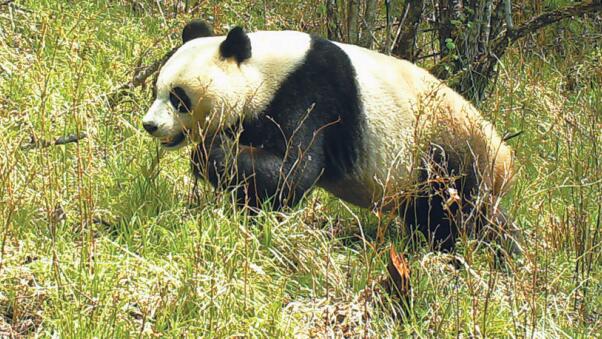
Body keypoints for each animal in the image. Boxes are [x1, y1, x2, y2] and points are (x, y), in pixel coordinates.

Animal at [142, 19, 516, 252]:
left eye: (179, 98)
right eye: (156, 89)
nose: (150, 125)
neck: (266, 69)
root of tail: (505, 159)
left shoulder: (309, 94)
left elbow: (295, 172)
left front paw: (210, 154)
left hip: (447, 155)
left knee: (462, 216)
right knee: (436, 216)